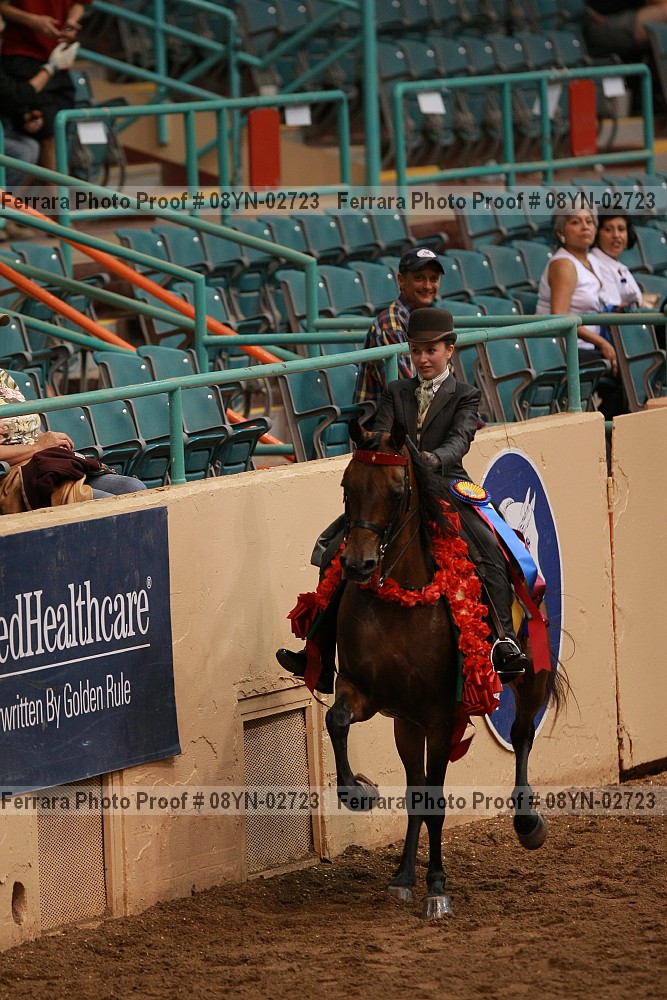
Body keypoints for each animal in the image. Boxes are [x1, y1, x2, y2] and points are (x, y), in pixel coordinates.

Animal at [325, 419, 562, 919]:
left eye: (397, 491)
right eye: (347, 487)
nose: (358, 565)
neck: (400, 600)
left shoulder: (437, 715)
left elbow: (435, 800)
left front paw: (437, 887)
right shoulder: (366, 693)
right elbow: (337, 721)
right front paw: (358, 793)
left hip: (530, 675)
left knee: (522, 736)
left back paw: (527, 821)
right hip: (407, 724)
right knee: (415, 788)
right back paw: (403, 874)